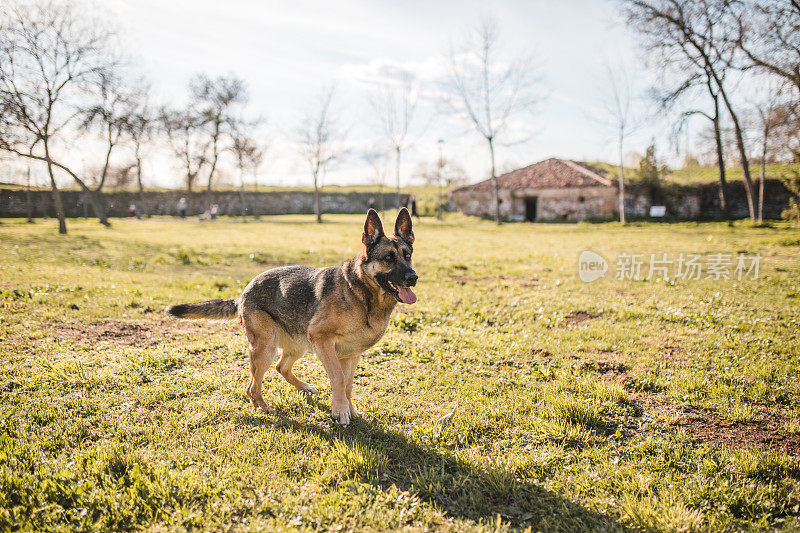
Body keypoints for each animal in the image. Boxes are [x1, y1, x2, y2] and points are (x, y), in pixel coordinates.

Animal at [169, 208, 418, 424]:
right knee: (252, 386)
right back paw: (263, 408)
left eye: (407, 255)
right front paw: (340, 411)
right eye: (388, 258)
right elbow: (338, 379)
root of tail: (243, 292)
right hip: (266, 348)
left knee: (281, 368)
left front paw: (349, 409)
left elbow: (348, 385)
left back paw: (303, 387)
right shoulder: (322, 340)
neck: (362, 295)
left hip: (299, 345)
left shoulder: (350, 355)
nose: (413, 277)